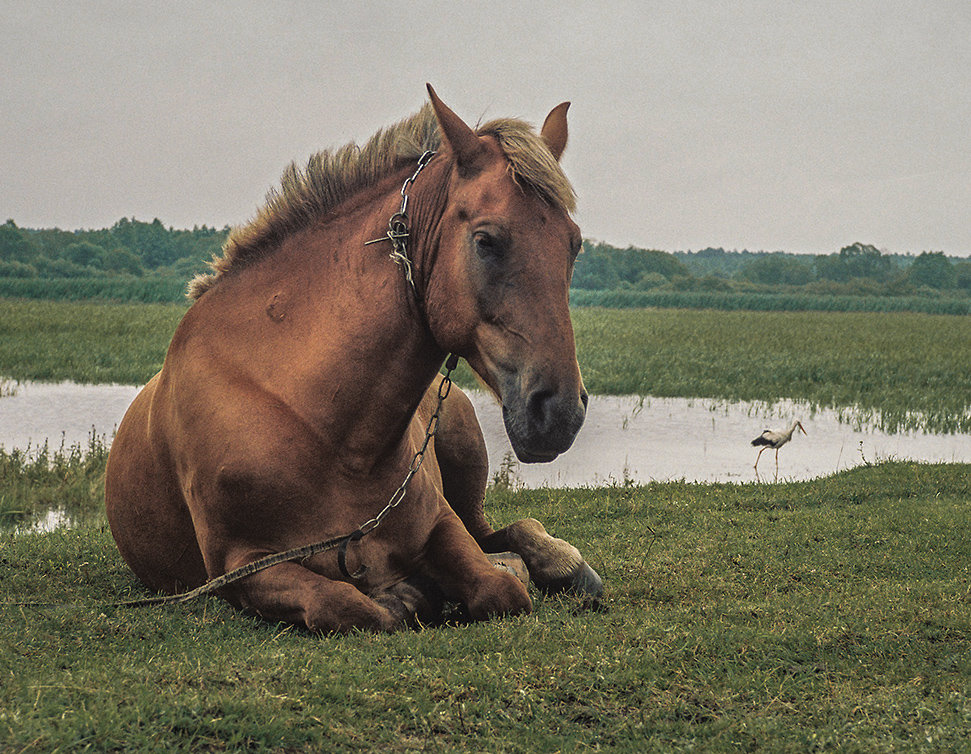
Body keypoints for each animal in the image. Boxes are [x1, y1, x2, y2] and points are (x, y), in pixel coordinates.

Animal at [106, 85, 600, 632]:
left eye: (574, 245)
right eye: (486, 240)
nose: (560, 411)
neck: (322, 428)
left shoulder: (441, 525)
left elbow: (500, 590)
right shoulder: (242, 569)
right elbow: (349, 606)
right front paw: (406, 595)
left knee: (500, 531)